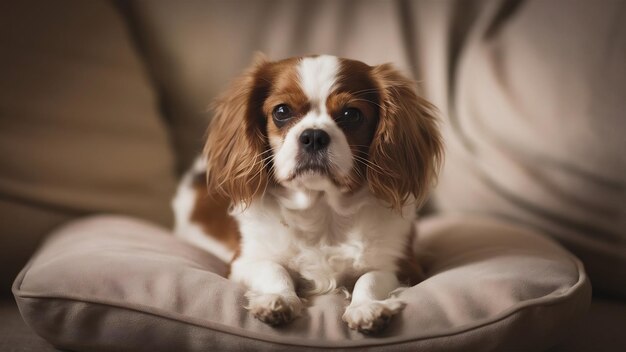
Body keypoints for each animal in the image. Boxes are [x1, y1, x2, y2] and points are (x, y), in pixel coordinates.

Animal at [172, 53, 438, 334]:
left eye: (351, 114)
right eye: (281, 111)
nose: (313, 136)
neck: (322, 209)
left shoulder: (404, 265)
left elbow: (370, 277)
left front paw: (366, 307)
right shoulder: (242, 262)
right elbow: (273, 269)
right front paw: (277, 300)